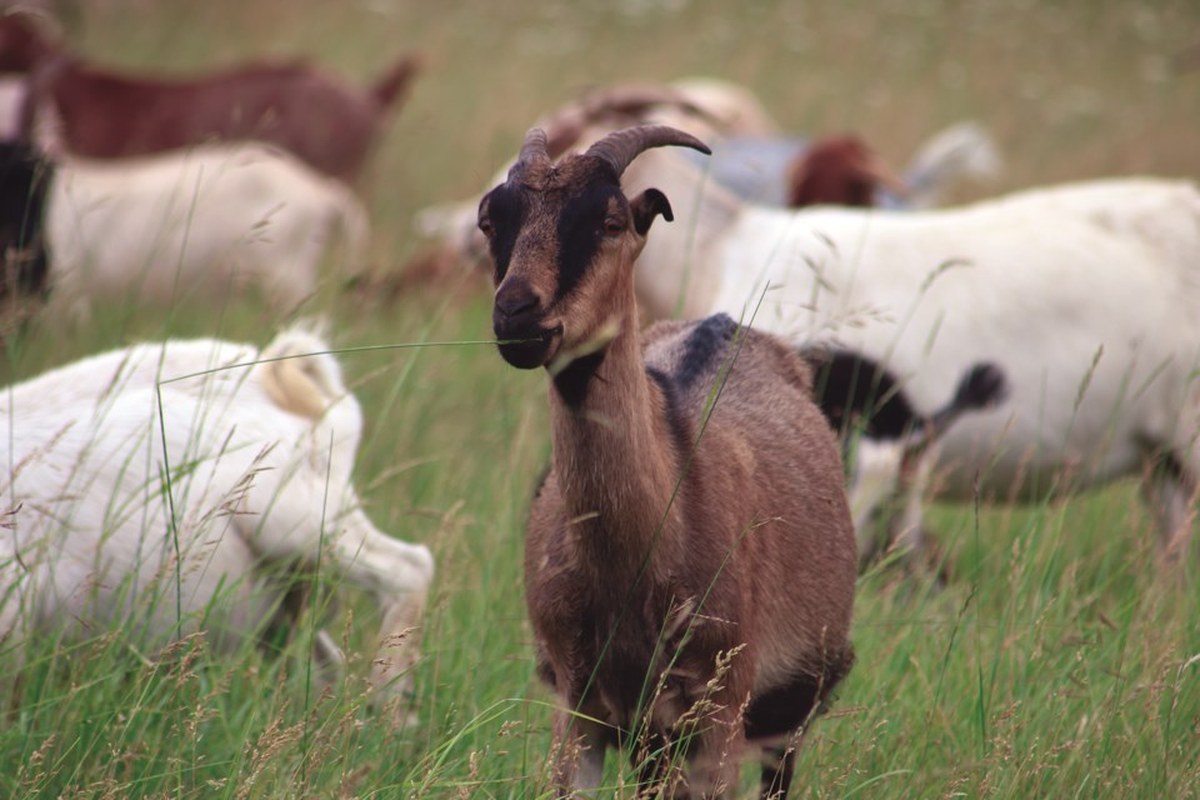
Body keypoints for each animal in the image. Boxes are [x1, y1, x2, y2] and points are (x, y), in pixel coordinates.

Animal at [0, 326, 433, 714]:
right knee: (324, 659)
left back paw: (390, 715)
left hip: (295, 519)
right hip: (279, 590)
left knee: (408, 568)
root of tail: (273, 369)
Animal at [483, 125, 856, 798]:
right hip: (655, 741)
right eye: (490, 220)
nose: (517, 314)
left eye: (610, 221)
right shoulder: (580, 705)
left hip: (788, 709)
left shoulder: (720, 704)